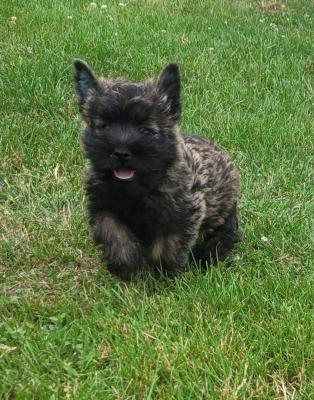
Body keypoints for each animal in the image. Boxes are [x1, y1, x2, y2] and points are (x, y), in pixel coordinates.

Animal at [74, 60, 240, 282]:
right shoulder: (104, 209)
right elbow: (115, 237)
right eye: (104, 126)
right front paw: (125, 268)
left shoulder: (179, 217)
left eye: (145, 130)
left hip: (223, 214)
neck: (138, 190)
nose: (120, 152)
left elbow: (166, 248)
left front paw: (163, 274)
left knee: (223, 235)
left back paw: (209, 257)